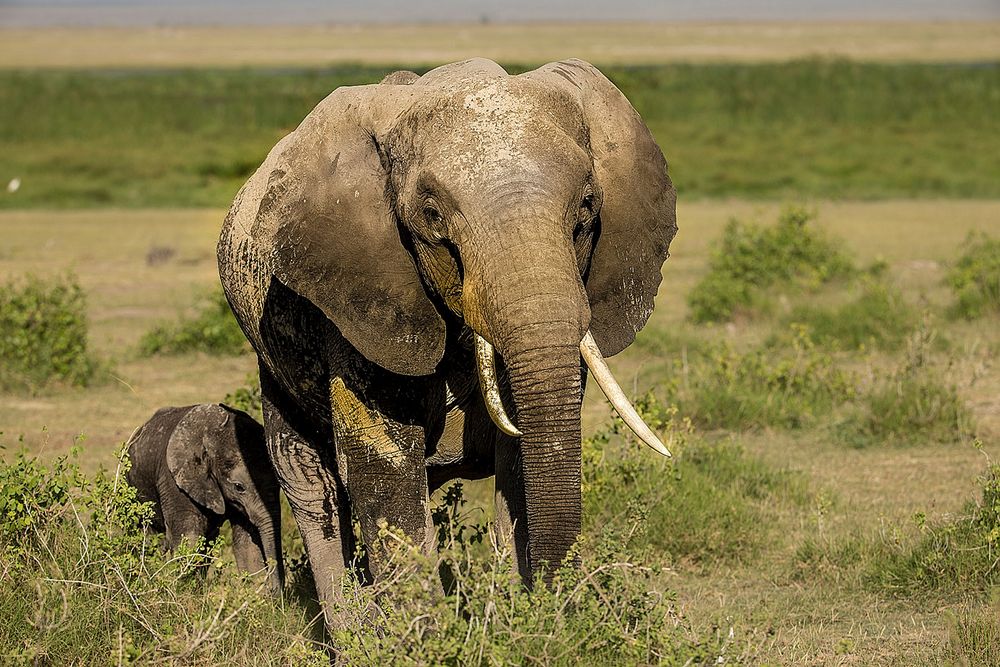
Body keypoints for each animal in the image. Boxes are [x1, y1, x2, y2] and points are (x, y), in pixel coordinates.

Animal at [125, 404, 284, 592]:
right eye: (239, 487)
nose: (275, 592)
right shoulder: (173, 479)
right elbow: (189, 536)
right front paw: (184, 593)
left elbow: (246, 543)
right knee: (148, 538)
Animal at [215, 58, 676, 620]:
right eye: (432, 216)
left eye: (588, 206)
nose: (553, 604)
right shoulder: (359, 296)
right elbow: (384, 472)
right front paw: (427, 632)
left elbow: (519, 463)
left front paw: (515, 619)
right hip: (272, 355)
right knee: (309, 485)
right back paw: (352, 630)